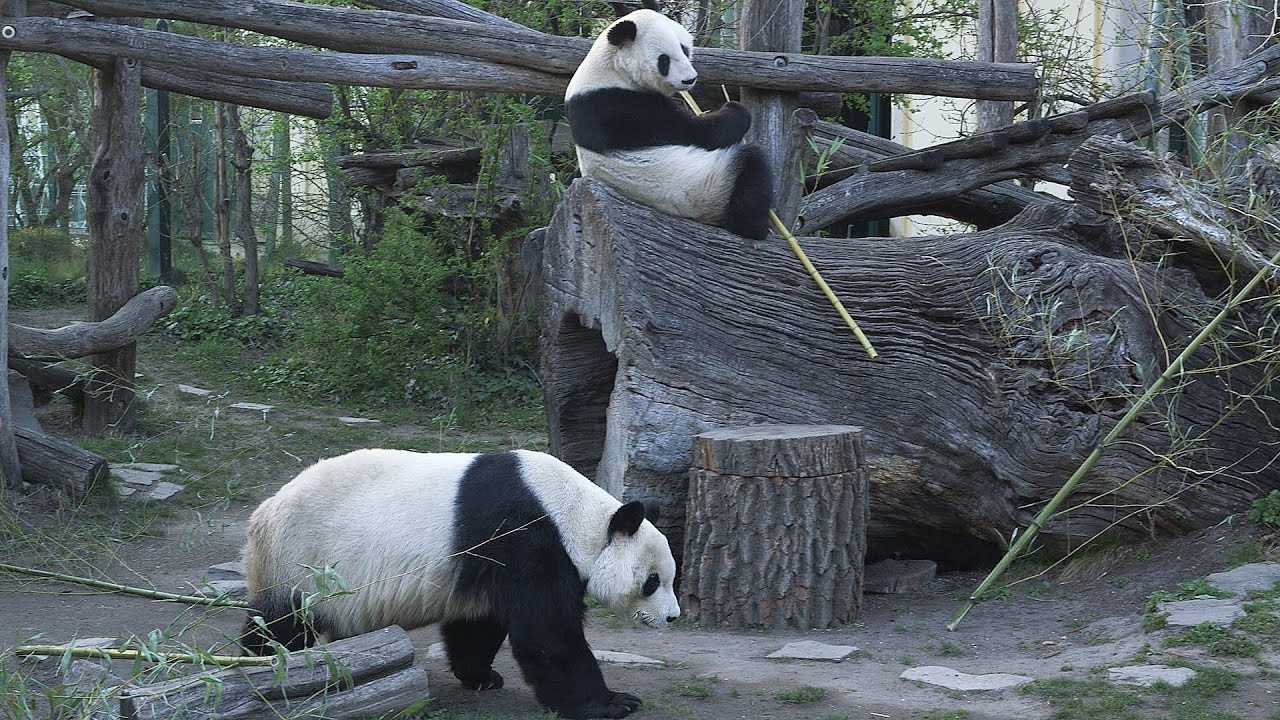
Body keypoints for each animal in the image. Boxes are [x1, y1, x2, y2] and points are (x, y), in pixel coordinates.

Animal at [240, 448, 680, 720]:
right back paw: (262, 669)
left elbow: (480, 624)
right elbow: (547, 634)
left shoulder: (491, 557)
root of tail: (263, 512)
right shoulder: (525, 534)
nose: (673, 617)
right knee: (281, 624)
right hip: (300, 560)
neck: (573, 513)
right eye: (652, 582)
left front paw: (481, 677)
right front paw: (613, 703)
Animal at [565, 9, 774, 242]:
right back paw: (753, 228)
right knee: (752, 165)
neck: (611, 68)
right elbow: (697, 133)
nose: (689, 80)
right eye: (663, 60)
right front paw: (734, 109)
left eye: (684, 48)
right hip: (701, 188)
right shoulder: (619, 106)